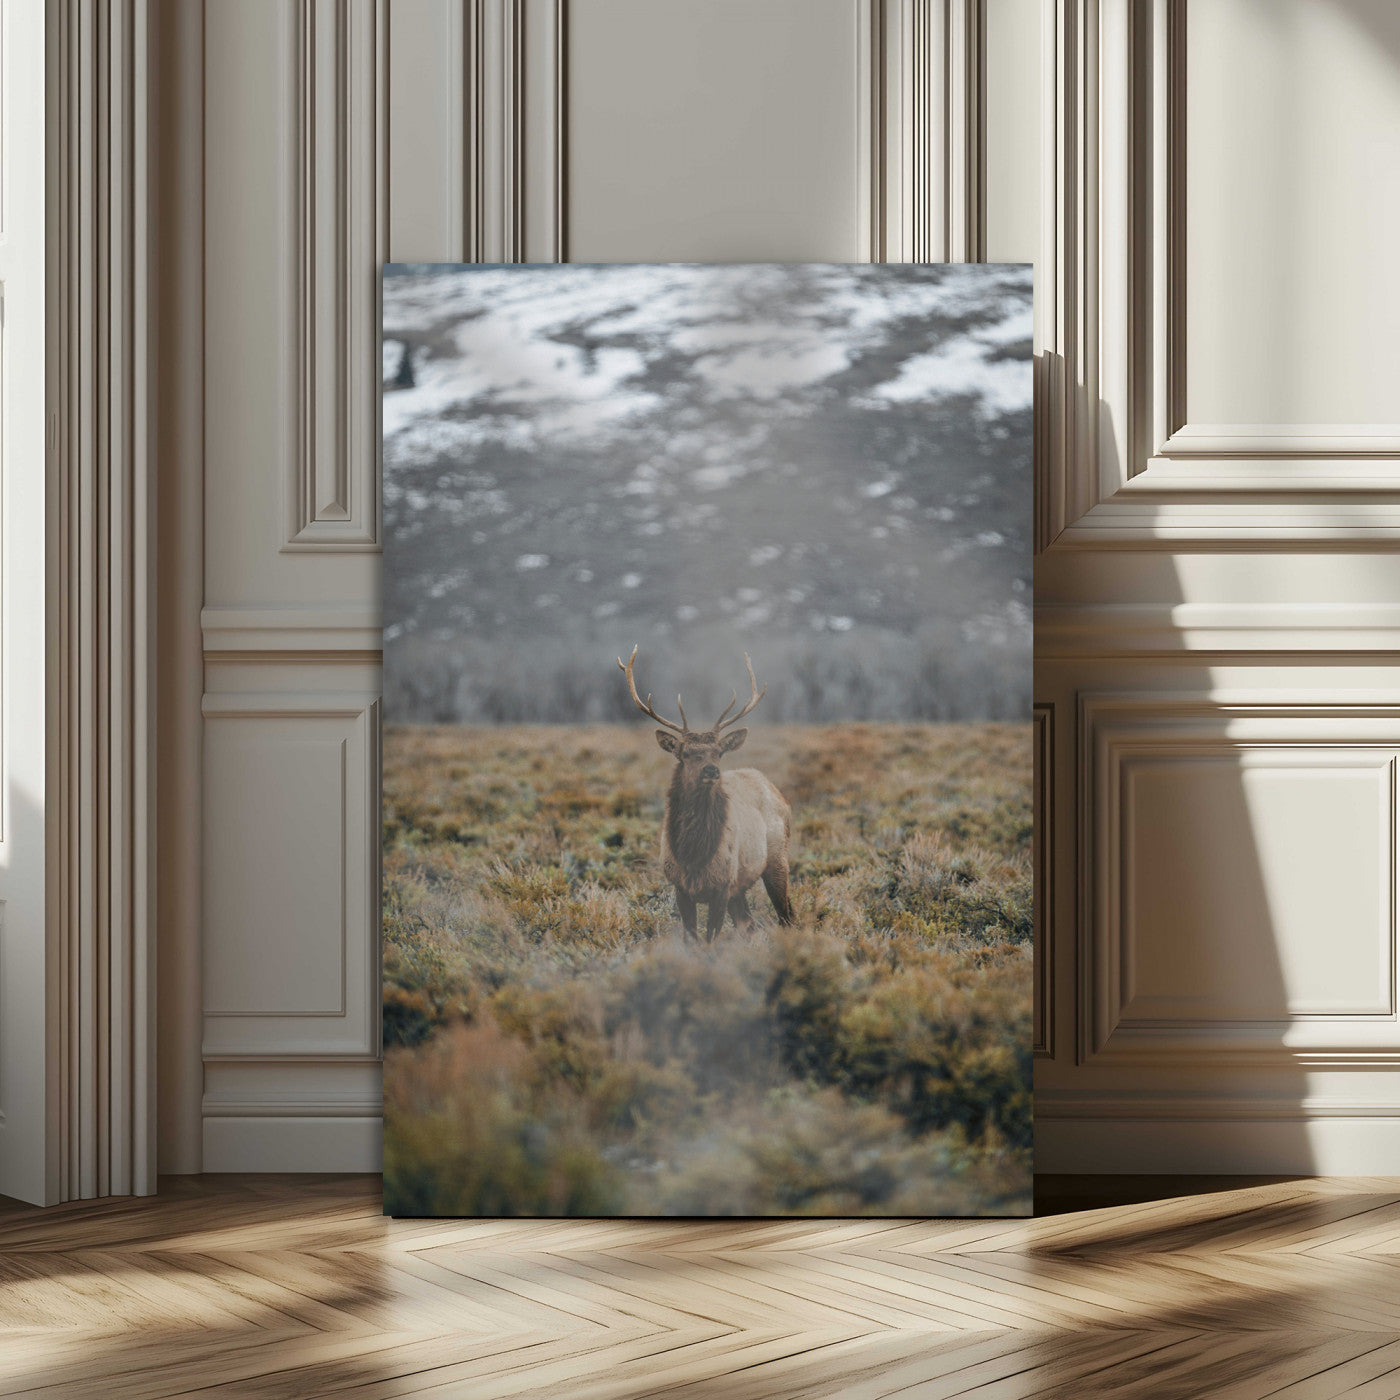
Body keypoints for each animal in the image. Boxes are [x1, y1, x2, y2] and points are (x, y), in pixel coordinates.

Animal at [618, 645, 794, 942]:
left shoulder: (722, 886)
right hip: (742, 886)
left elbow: (710, 939)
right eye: (686, 753)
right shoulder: (680, 887)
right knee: (750, 925)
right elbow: (692, 939)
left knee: (788, 915)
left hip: (777, 858)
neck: (693, 856)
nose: (712, 770)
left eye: (718, 752)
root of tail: (775, 789)